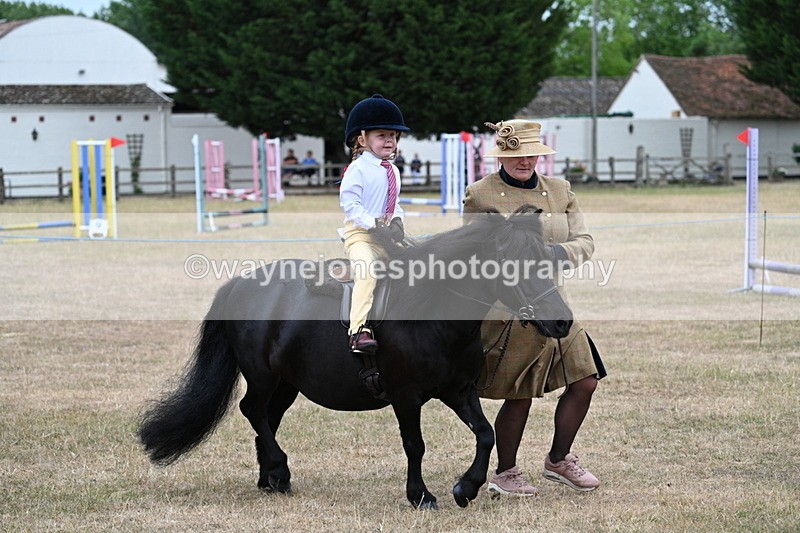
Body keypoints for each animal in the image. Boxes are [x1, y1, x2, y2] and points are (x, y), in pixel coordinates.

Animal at [137, 206, 573, 509]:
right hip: (262, 376)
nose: (563, 321)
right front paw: (420, 495)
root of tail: (238, 284)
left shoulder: (459, 390)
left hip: (286, 383)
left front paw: (465, 488)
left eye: (547, 260)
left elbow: (486, 434)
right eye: (514, 266)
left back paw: (271, 478)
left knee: (267, 417)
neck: (434, 313)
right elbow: (415, 445)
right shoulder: (405, 397)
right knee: (252, 410)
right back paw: (279, 469)